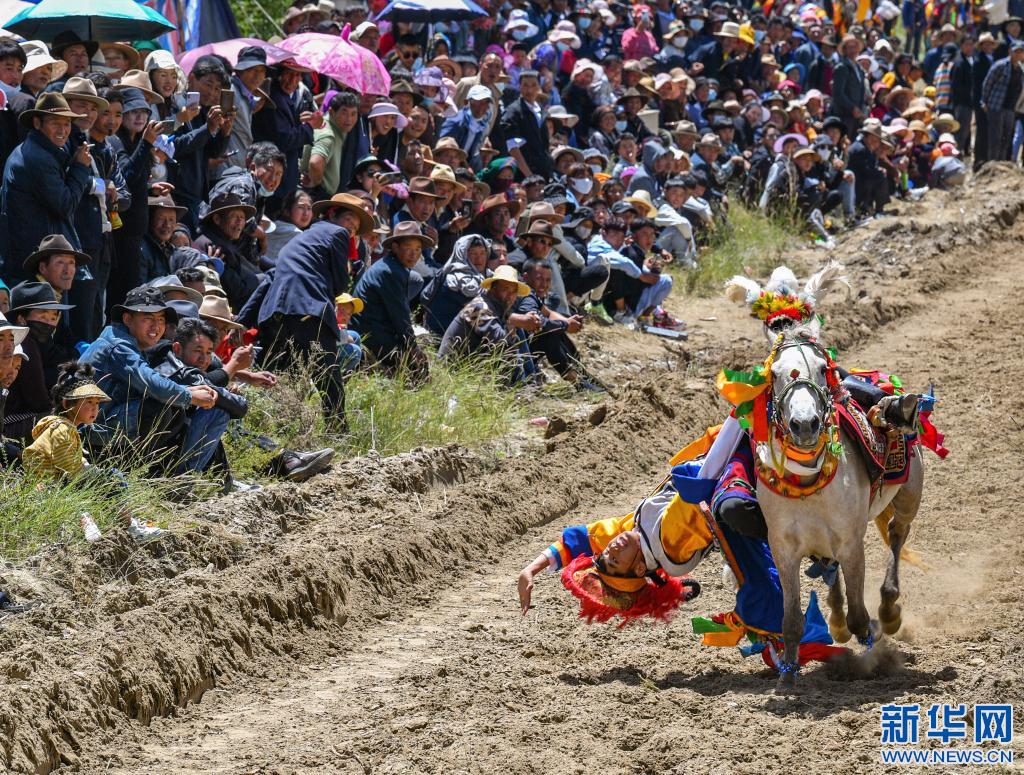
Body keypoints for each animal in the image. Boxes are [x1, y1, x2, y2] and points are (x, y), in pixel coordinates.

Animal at [756, 319, 925, 691]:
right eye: (774, 373)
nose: (804, 424)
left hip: (909, 497)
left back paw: (888, 609)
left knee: (897, 535)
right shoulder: (783, 549)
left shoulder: (851, 544)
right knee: (830, 569)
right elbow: (791, 619)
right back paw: (836, 618)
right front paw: (787, 673)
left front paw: (873, 638)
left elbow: (861, 617)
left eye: (823, 368)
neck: (809, 486)